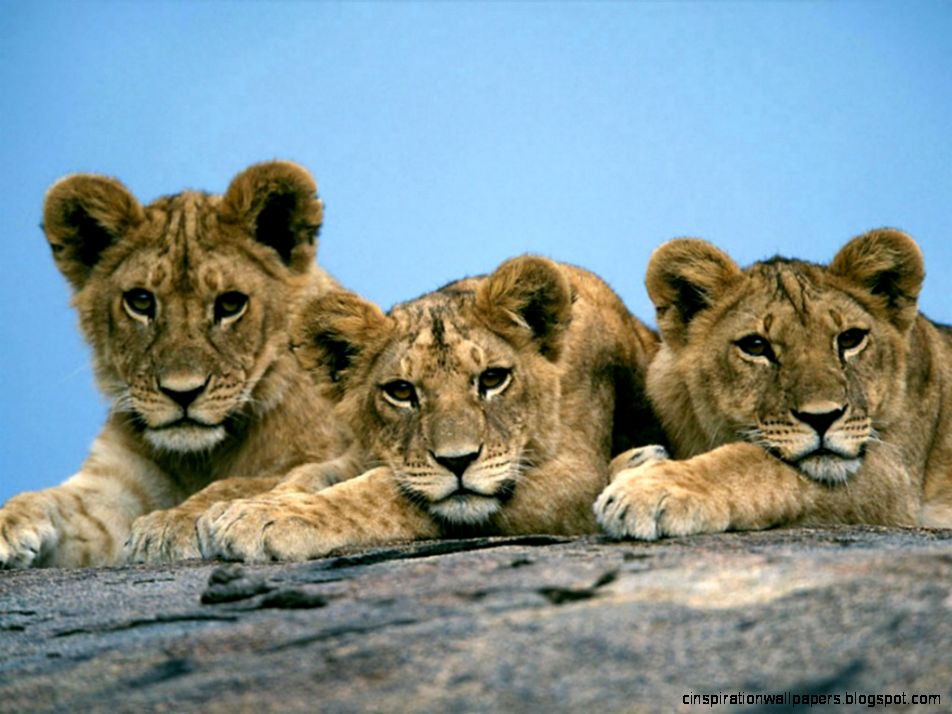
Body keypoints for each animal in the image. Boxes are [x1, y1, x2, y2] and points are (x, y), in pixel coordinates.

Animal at [0, 161, 349, 568]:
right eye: (140, 301)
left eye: (231, 304)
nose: (183, 392)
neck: (200, 457)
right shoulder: (112, 489)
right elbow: (51, 499)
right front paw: (7, 523)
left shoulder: (336, 453)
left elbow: (243, 483)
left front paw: (171, 521)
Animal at [167, 255, 664, 562]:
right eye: (402, 391)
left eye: (492, 379)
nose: (457, 462)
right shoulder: (361, 453)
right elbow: (308, 474)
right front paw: (242, 507)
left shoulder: (574, 476)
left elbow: (382, 493)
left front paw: (268, 517)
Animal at [595, 228, 952, 540]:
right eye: (755, 346)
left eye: (850, 339)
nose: (823, 417)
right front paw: (638, 461)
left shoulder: (894, 478)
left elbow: (756, 465)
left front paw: (649, 490)